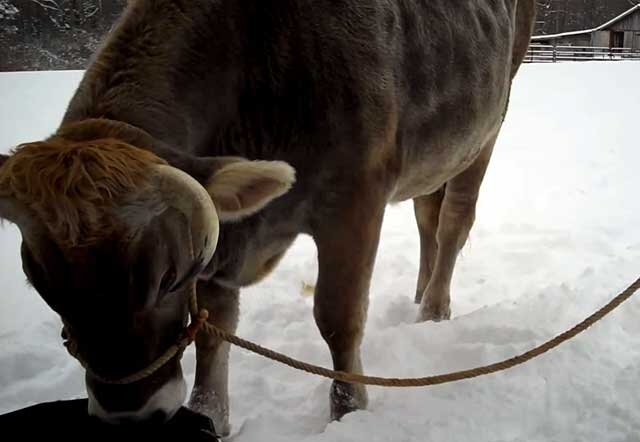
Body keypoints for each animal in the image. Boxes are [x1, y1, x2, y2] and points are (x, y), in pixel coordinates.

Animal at [0, 0, 536, 436]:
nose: (129, 415)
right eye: (43, 287)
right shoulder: (222, 233)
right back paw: (421, 297)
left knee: (453, 221)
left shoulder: (355, 198)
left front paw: (348, 412)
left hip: (489, 125)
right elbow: (213, 329)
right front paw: (211, 416)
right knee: (428, 213)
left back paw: (434, 309)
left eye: (171, 278)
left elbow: (338, 317)